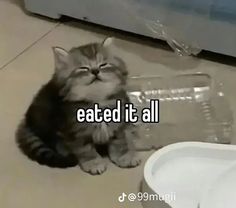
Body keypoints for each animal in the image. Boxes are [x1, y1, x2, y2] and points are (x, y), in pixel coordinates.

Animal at [17, 38, 142, 175]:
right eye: (83, 68)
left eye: (103, 65)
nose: (95, 71)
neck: (97, 101)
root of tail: (27, 120)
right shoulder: (75, 133)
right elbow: (85, 150)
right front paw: (93, 162)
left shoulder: (119, 124)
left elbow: (120, 142)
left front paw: (124, 156)